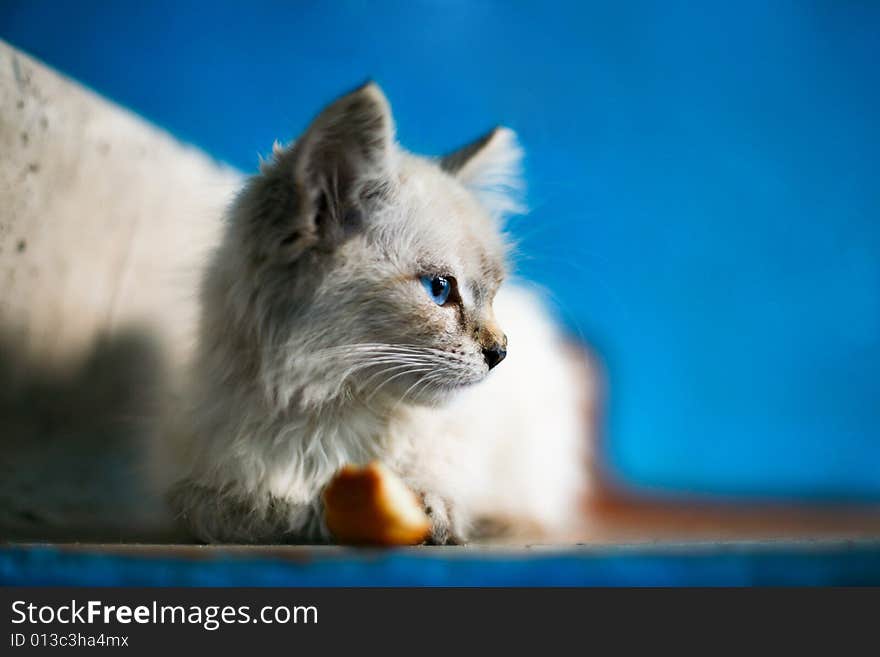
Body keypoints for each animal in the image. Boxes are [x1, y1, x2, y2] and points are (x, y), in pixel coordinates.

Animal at [162, 83, 596, 544]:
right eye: (440, 290)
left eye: (491, 295)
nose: (500, 353)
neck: (329, 413)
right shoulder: (191, 490)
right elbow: (240, 511)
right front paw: (306, 514)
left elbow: (439, 490)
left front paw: (433, 515)